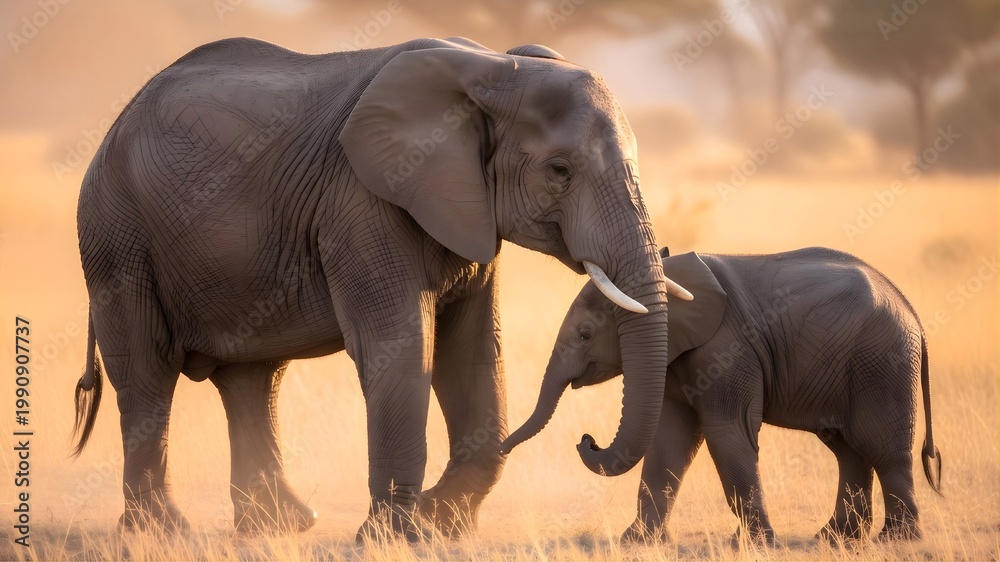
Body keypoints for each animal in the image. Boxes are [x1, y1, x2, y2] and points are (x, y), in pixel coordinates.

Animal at [70, 36, 693, 540]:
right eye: (560, 171)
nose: (588, 441)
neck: (494, 67)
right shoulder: (362, 203)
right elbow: (401, 349)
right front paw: (398, 536)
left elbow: (472, 355)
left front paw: (441, 523)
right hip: (116, 236)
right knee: (147, 372)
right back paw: (162, 532)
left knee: (253, 378)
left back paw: (281, 526)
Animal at [501, 247, 942, 545]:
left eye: (585, 335)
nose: (586, 439)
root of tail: (914, 316)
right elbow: (670, 440)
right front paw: (635, 543)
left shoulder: (726, 348)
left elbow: (726, 433)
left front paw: (755, 545)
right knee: (847, 449)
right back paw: (834, 540)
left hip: (882, 363)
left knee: (882, 447)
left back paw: (896, 540)